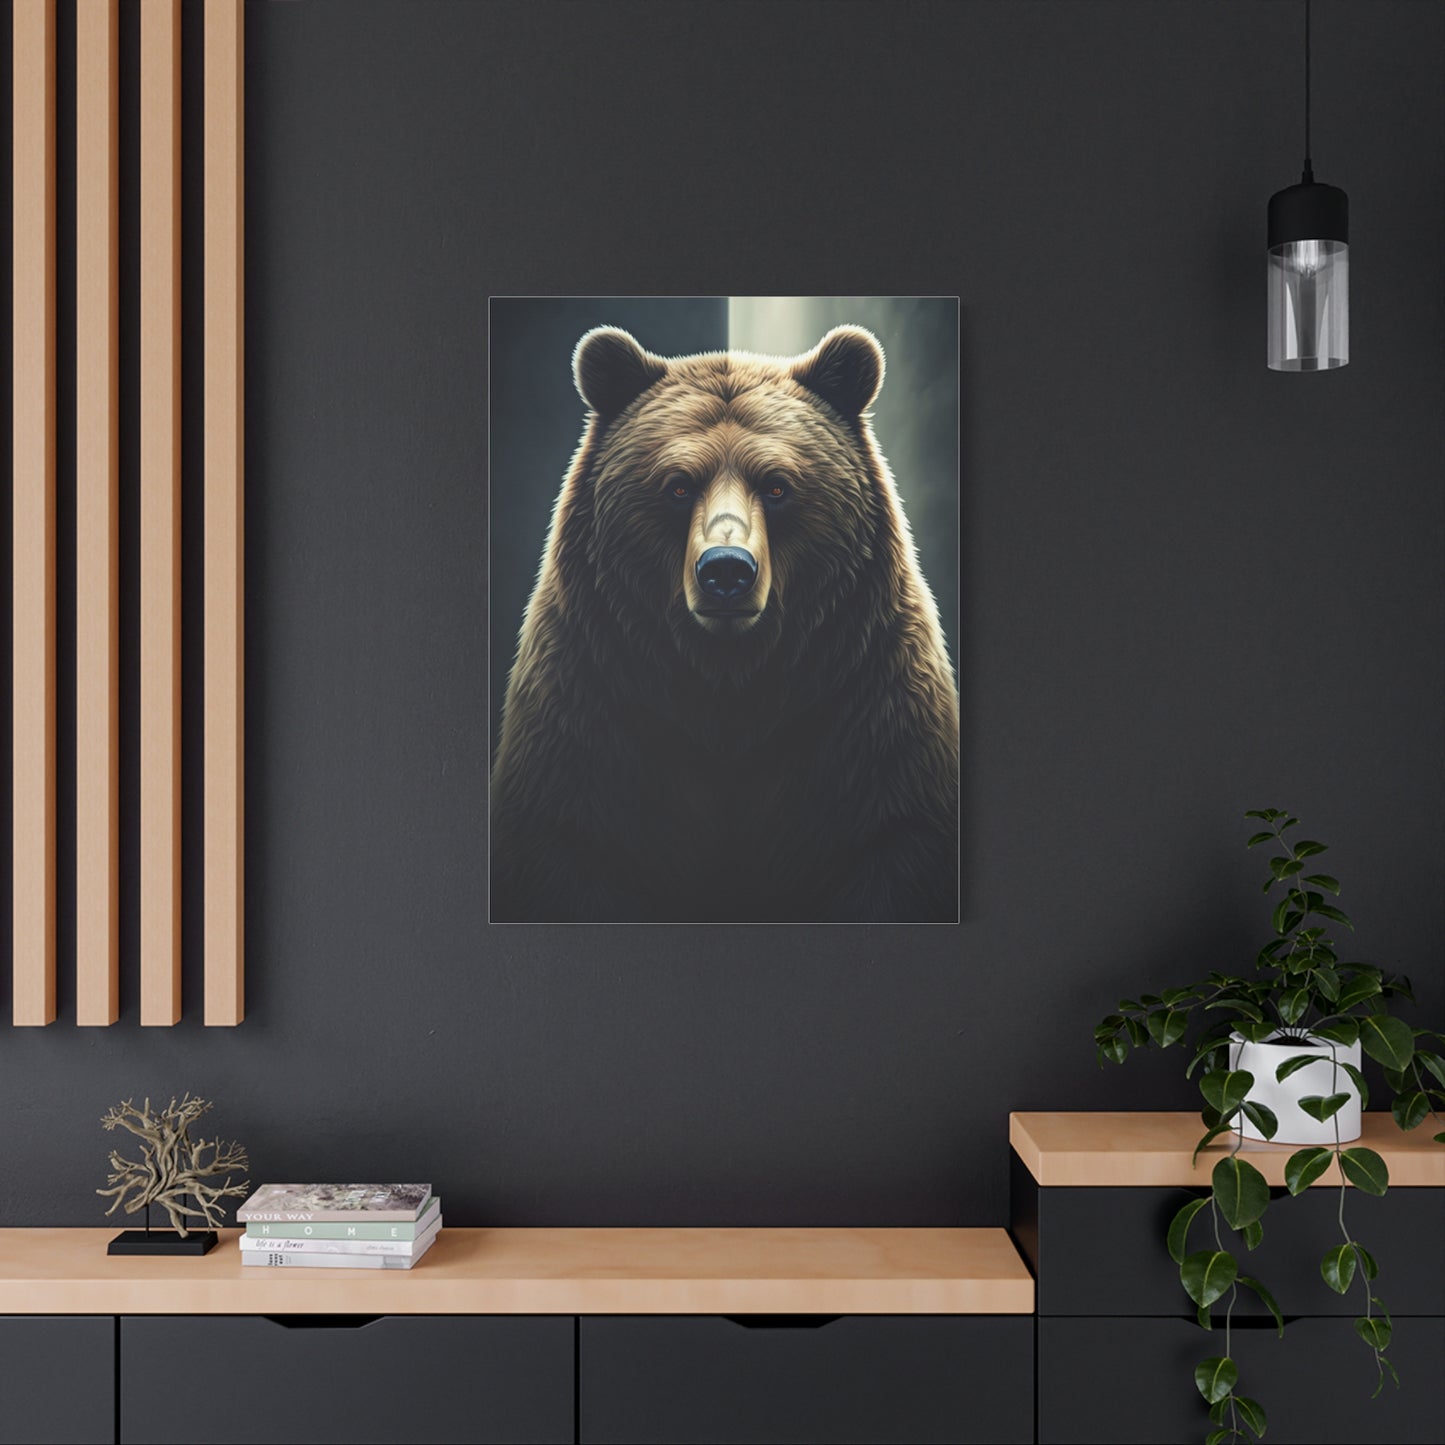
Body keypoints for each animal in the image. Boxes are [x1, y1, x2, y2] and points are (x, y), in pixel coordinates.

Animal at [490, 325, 959, 923]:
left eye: (778, 485)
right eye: (678, 485)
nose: (727, 570)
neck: (729, 689)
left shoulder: (867, 709)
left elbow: (892, 837)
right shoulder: (594, 702)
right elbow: (568, 840)